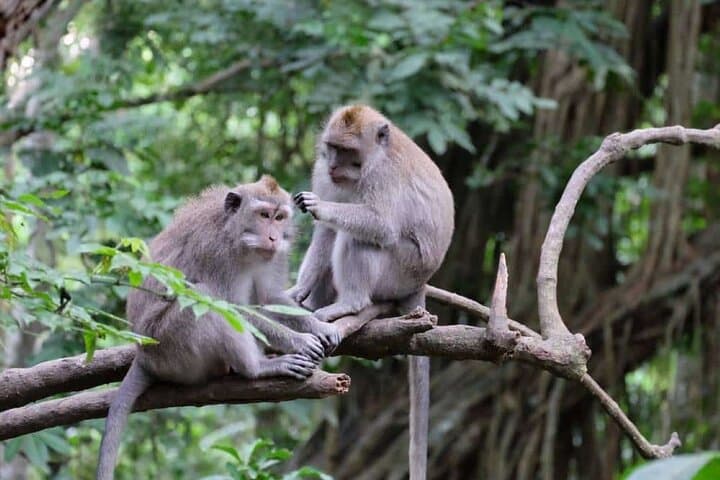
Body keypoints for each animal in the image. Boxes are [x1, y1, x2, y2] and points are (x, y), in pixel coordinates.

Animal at [96, 175, 341, 480]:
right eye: (263, 215)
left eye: (279, 217)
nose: (273, 237)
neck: (239, 238)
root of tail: (144, 355)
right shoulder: (215, 252)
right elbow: (231, 307)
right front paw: (299, 341)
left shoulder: (275, 256)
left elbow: (271, 297)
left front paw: (318, 326)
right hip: (171, 349)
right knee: (205, 297)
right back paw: (258, 368)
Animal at [290, 105, 454, 480]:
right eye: (333, 148)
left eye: (348, 151)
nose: (335, 167)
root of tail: (420, 283)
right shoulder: (323, 173)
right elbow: (324, 233)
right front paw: (296, 292)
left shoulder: (384, 177)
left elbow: (381, 225)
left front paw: (322, 208)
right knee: (339, 236)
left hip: (401, 271)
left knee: (362, 237)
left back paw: (350, 304)